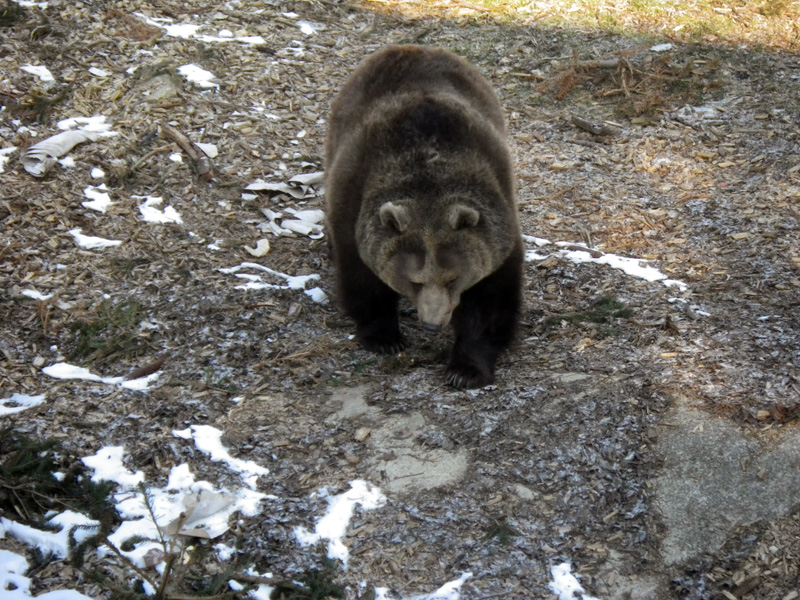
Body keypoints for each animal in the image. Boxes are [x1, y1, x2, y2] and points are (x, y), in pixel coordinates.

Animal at [324, 44, 524, 386]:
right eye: (414, 280)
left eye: (453, 277)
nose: (432, 323)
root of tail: (411, 47)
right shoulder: (354, 195)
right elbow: (362, 279)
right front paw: (385, 338)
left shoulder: (499, 216)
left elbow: (490, 298)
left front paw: (465, 369)